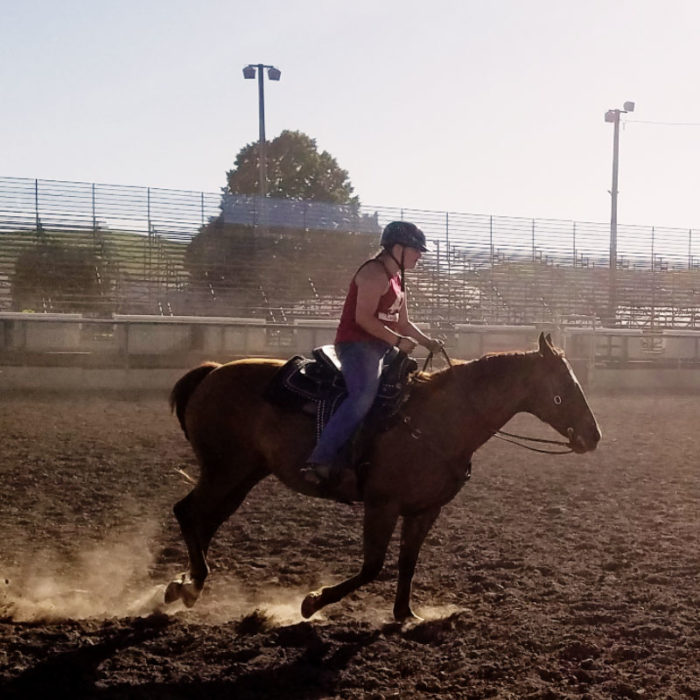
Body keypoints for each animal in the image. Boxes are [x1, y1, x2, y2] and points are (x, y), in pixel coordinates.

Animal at [165, 330, 600, 620]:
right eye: (564, 387)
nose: (594, 436)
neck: (438, 420)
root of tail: (213, 371)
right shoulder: (382, 504)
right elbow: (372, 566)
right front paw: (313, 601)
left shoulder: (424, 509)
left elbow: (408, 561)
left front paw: (406, 616)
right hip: (224, 470)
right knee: (188, 513)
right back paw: (190, 586)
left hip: (242, 475)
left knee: (204, 521)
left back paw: (184, 584)